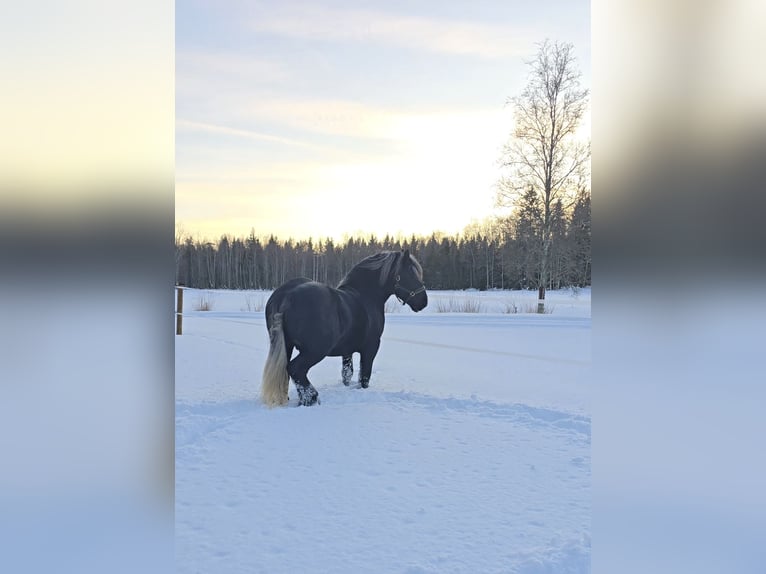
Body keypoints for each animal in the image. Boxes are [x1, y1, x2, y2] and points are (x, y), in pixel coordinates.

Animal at [260, 252, 428, 410]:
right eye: (410, 273)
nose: (423, 301)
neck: (366, 297)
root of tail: (287, 295)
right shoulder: (371, 347)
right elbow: (364, 376)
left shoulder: (347, 350)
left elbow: (347, 373)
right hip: (314, 351)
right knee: (295, 369)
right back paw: (311, 399)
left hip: (287, 346)